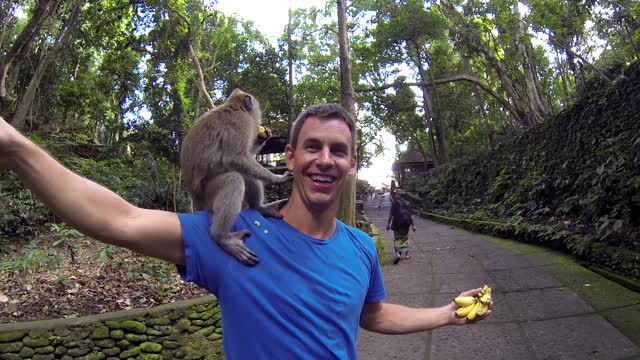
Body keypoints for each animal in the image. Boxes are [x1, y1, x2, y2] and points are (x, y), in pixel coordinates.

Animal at [179, 88, 292, 266]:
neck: (233, 106)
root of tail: (196, 200)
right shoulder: (241, 122)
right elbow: (236, 158)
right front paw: (277, 178)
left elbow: (246, 157)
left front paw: (263, 136)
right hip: (208, 196)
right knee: (234, 179)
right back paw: (222, 238)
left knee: (245, 175)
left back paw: (259, 208)